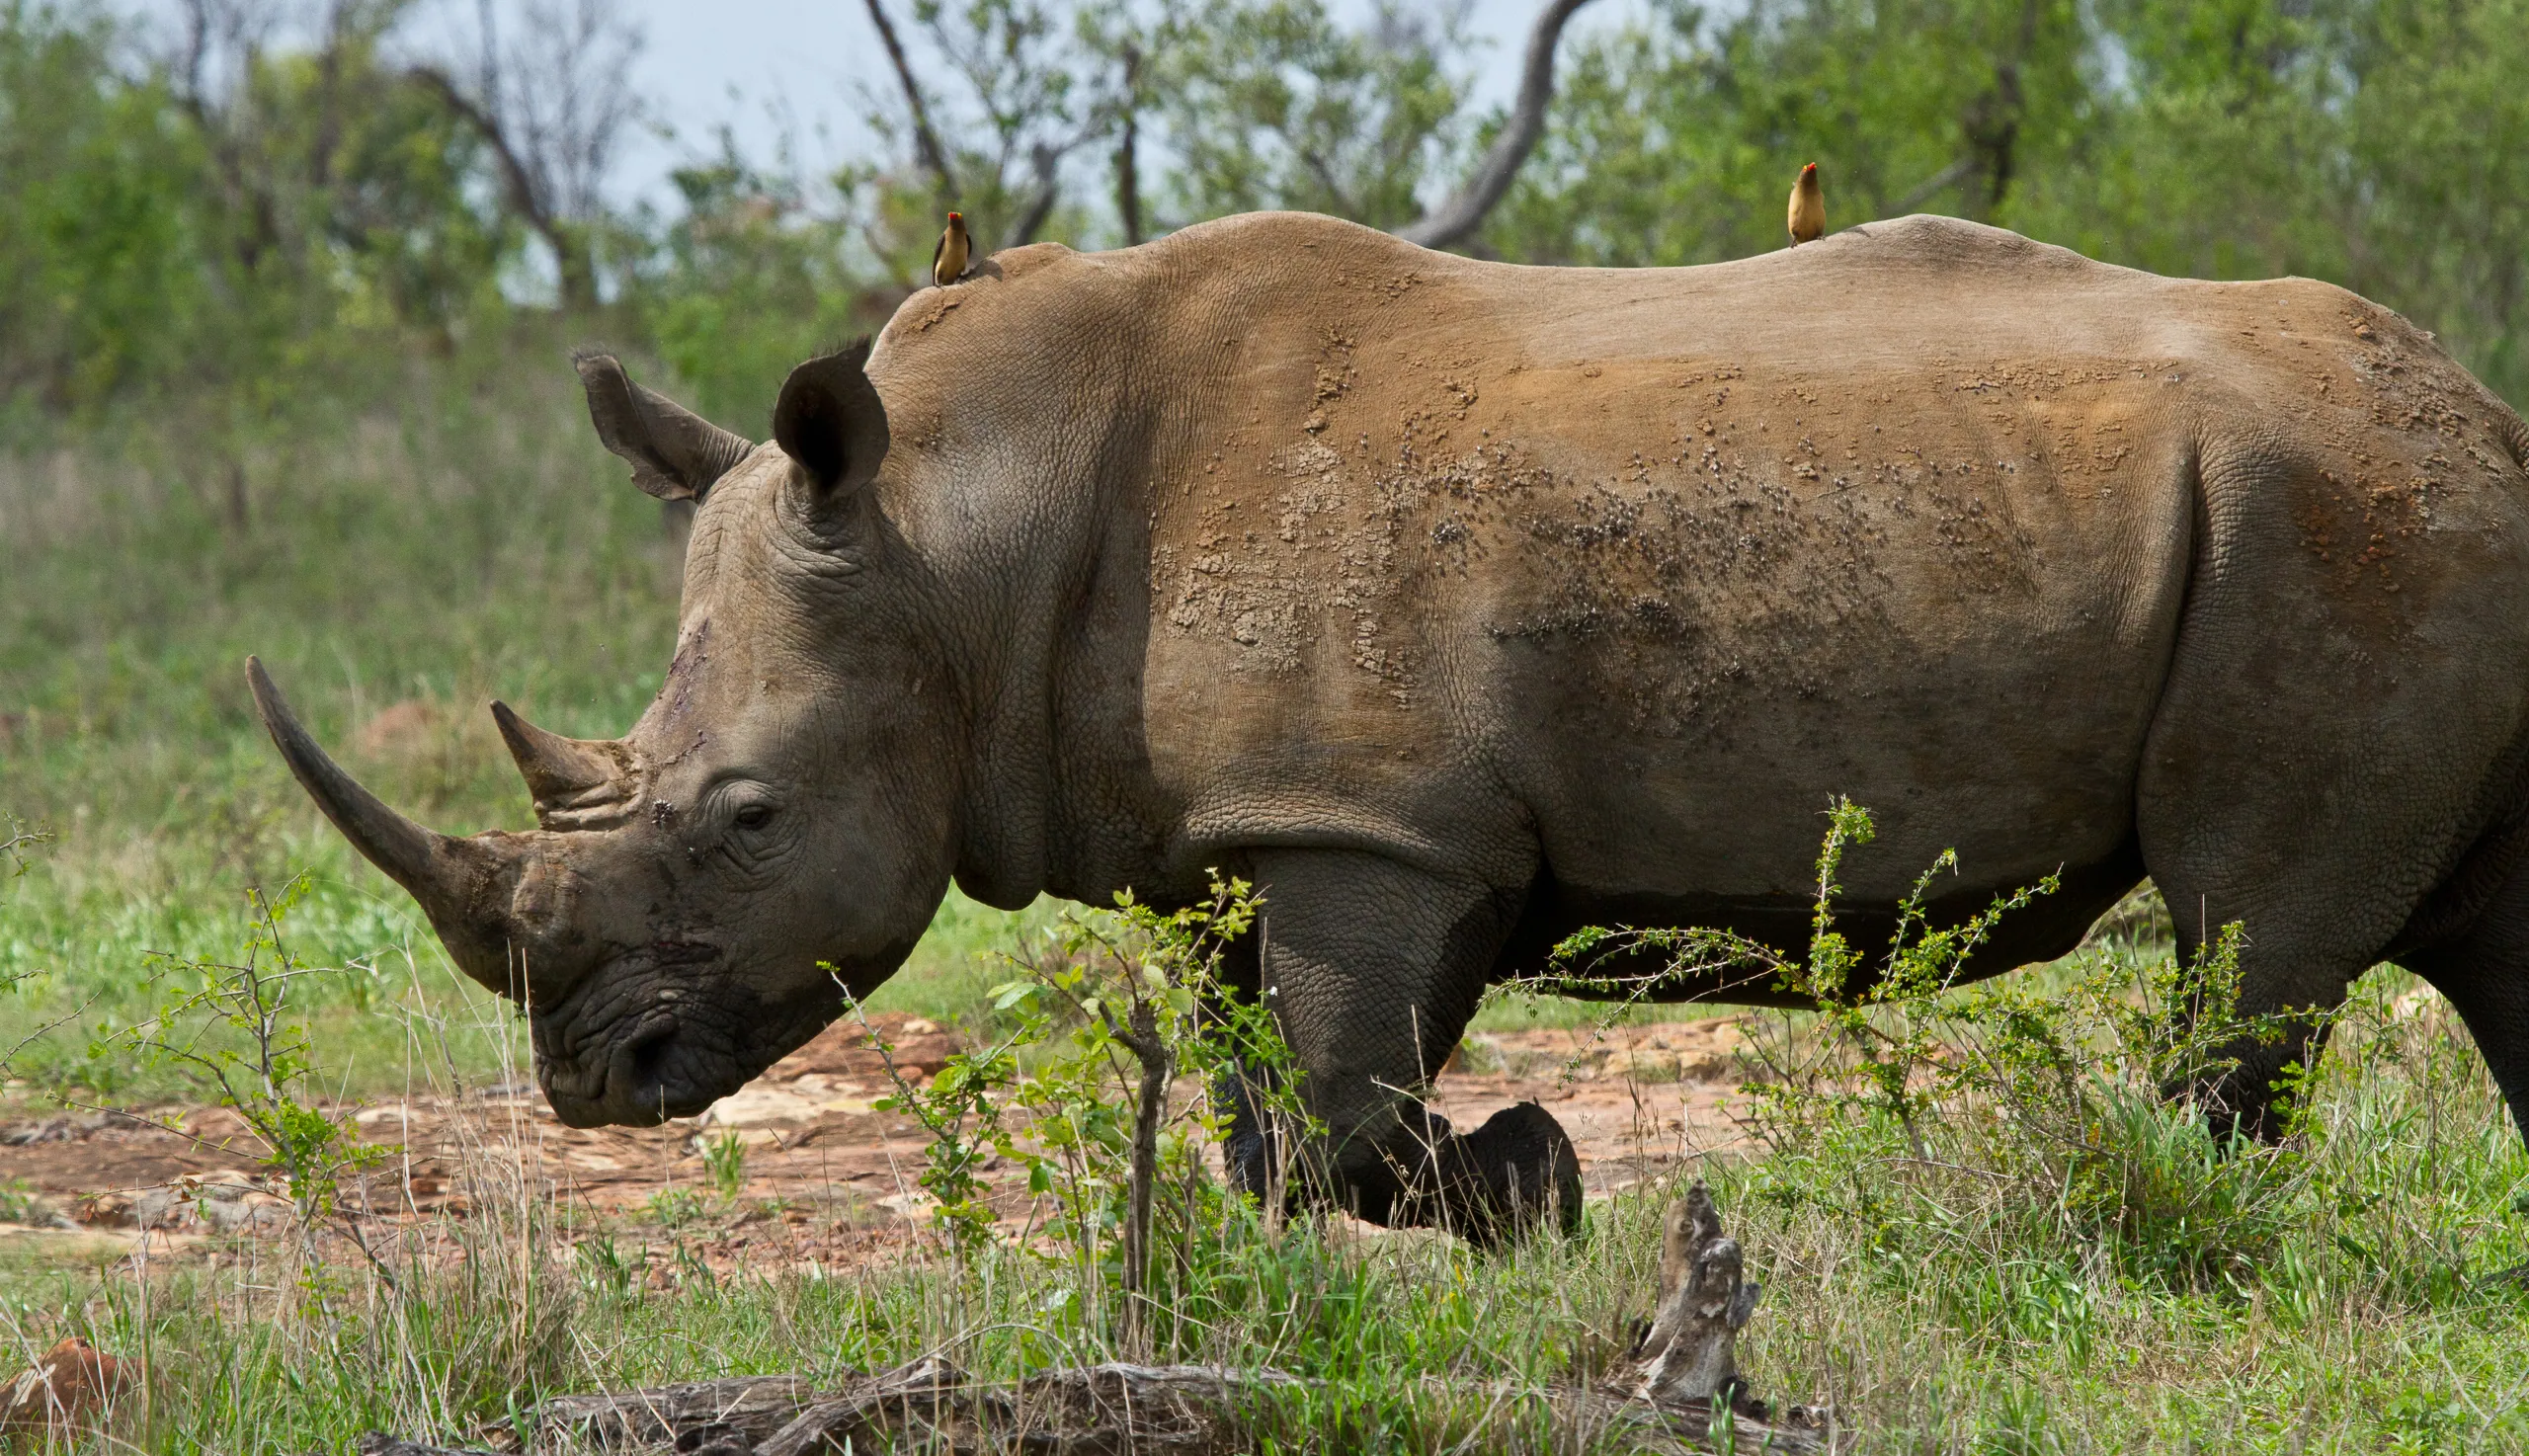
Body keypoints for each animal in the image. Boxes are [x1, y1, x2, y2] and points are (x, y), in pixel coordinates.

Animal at [251, 212, 2529, 1243]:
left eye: (742, 813)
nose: (588, 1081)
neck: (954, 531)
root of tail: (2486, 415)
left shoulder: (1370, 817)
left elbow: (1342, 1107)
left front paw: (1534, 1175)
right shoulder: (1227, 828)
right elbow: (1271, 1117)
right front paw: (1485, 1194)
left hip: (2339, 521)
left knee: (2250, 942)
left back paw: (2165, 1217)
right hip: (2410, 520)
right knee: (2490, 931)